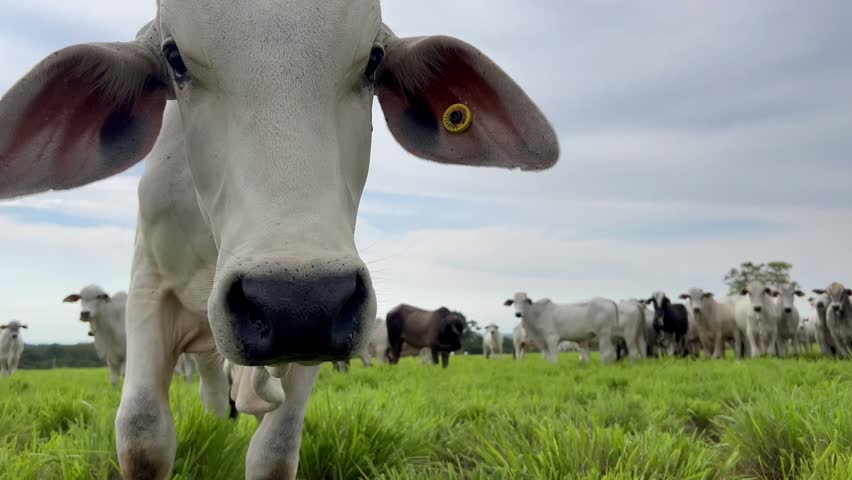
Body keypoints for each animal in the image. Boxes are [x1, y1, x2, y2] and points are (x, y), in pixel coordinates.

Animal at [0, 2, 558, 475]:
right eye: (174, 58)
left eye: (374, 61)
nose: (296, 303)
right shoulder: (149, 289)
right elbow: (142, 435)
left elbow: (275, 450)